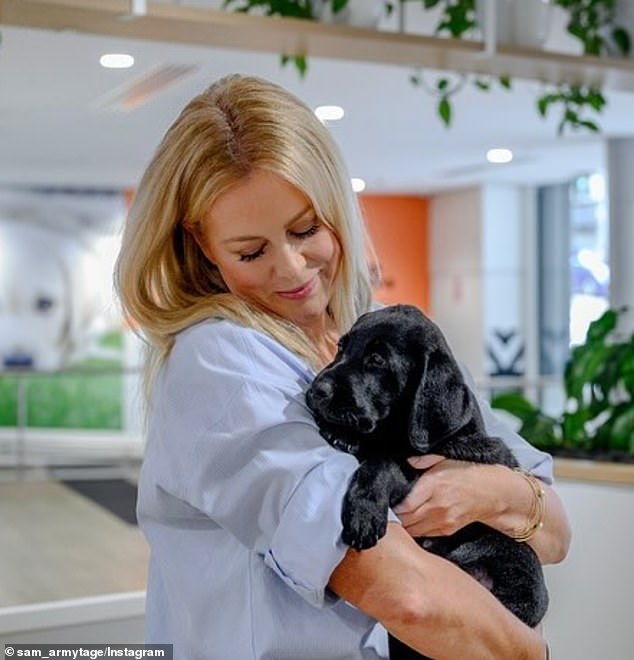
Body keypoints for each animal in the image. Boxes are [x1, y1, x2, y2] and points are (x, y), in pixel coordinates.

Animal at [304, 304, 544, 660]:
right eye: (340, 347)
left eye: (377, 360)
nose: (316, 391)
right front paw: (342, 433)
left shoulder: (420, 467)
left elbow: (380, 464)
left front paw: (364, 513)